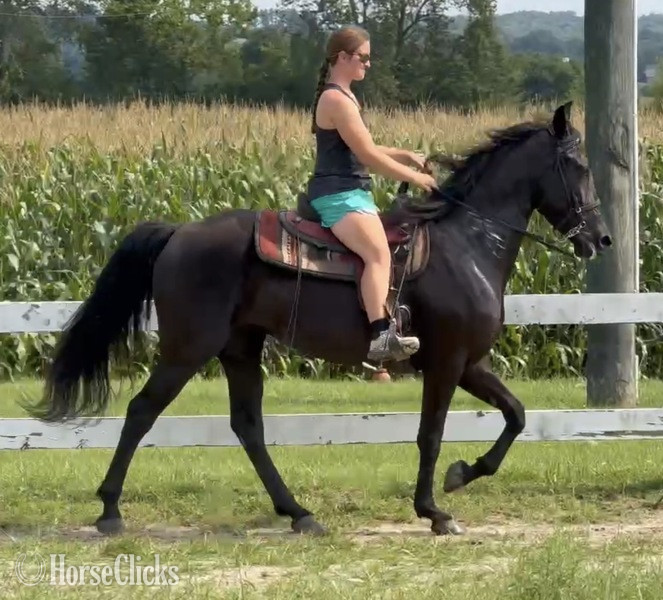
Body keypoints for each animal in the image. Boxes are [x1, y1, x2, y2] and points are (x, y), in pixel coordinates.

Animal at [24, 102, 612, 537]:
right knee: (142, 411)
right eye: (579, 168)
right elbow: (431, 434)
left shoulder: (469, 362)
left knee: (248, 427)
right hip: (189, 348)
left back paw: (299, 513)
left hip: (240, 349)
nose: (602, 239)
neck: (467, 244)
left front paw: (462, 475)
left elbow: (516, 415)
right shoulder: (446, 363)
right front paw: (435, 510)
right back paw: (110, 511)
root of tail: (178, 232)